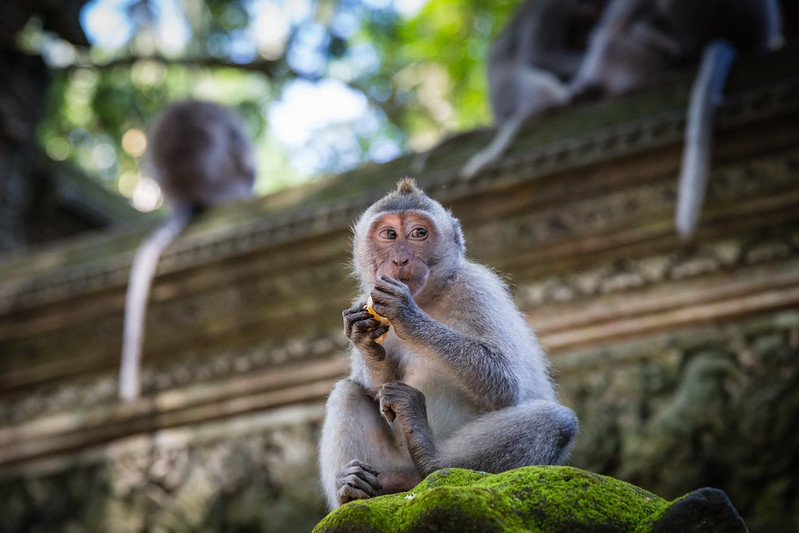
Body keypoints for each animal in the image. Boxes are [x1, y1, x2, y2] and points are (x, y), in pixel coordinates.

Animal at [318, 177, 577, 510]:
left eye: (419, 233)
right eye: (388, 234)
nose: (400, 259)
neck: (428, 299)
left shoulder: (476, 289)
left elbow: (504, 385)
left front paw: (406, 314)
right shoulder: (365, 297)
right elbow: (376, 392)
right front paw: (364, 340)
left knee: (556, 421)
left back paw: (432, 460)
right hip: (392, 463)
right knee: (348, 392)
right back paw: (353, 490)